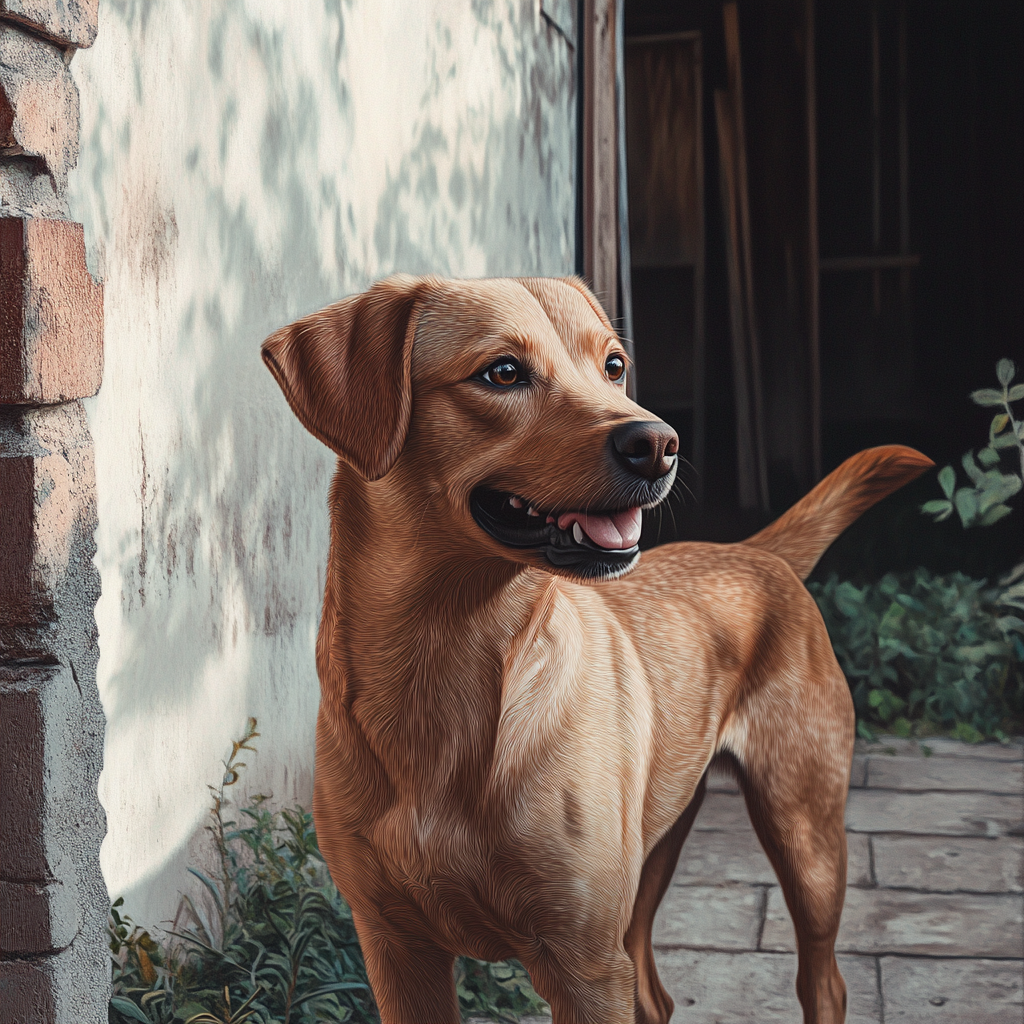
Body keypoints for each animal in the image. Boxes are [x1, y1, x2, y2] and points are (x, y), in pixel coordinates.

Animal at [260, 274, 933, 1024]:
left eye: (613, 366)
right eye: (502, 372)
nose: (660, 442)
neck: (446, 662)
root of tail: (756, 552)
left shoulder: (583, 963)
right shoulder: (395, 948)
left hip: (805, 833)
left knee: (822, 979)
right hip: (654, 855)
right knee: (655, 992)